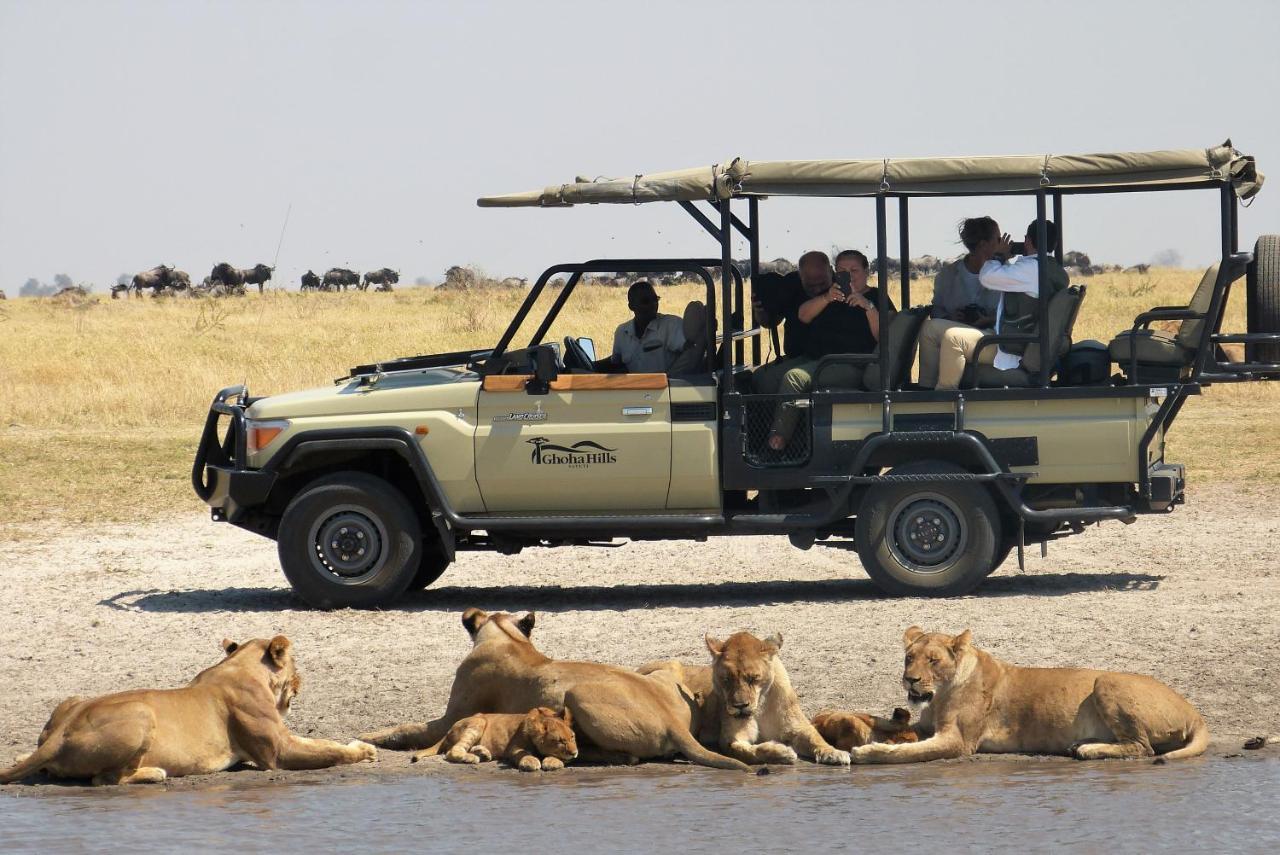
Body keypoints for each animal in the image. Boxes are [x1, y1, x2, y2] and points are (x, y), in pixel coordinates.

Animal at [0, 632, 376, 783]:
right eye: (295, 663)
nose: (301, 680)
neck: (239, 666)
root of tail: (59, 734)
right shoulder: (277, 754)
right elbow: (330, 750)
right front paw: (362, 751)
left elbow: (324, 742)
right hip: (141, 712)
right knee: (104, 779)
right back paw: (155, 773)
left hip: (73, 698)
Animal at [358, 611, 747, 773]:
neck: (508, 638)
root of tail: (673, 723)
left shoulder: (452, 714)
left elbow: (406, 728)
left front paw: (368, 737)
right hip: (661, 672)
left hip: (577, 694)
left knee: (623, 756)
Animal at [855, 624, 1203, 762]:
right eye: (909, 658)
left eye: (933, 660)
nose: (910, 680)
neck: (937, 697)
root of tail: (1195, 712)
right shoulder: (927, 725)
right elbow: (894, 728)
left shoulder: (959, 741)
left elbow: (910, 752)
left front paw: (869, 753)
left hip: (1106, 682)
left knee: (1143, 748)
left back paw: (1087, 749)